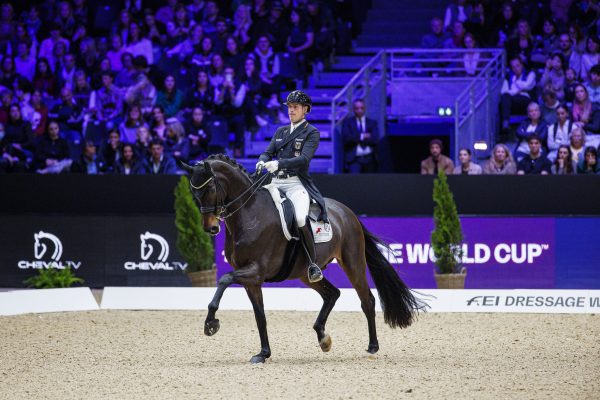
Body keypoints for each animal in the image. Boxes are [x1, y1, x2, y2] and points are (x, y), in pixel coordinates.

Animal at [183, 155, 422, 364]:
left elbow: (224, 279)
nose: (210, 228)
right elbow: (260, 316)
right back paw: (323, 338)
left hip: (353, 263)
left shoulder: (255, 270)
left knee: (367, 301)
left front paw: (210, 324)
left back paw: (372, 347)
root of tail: (347, 212)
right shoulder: (252, 280)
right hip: (305, 273)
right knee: (332, 294)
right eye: (194, 193)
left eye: (209, 189)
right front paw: (263, 354)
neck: (250, 214)